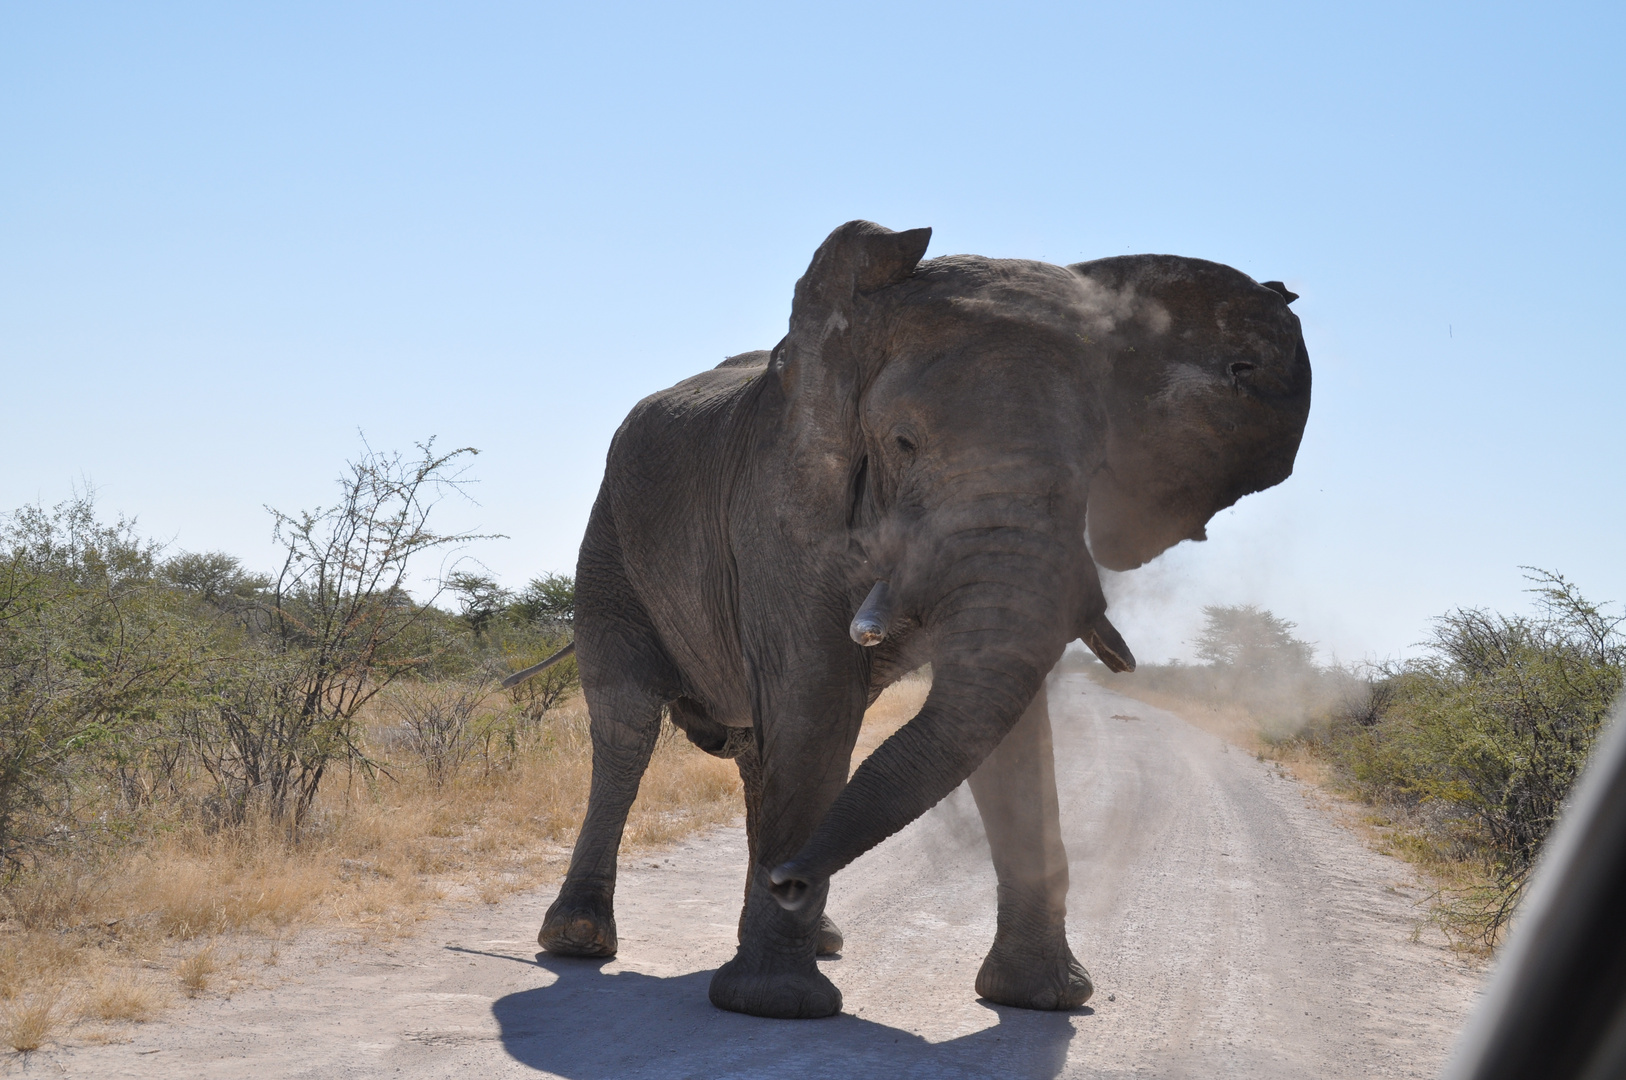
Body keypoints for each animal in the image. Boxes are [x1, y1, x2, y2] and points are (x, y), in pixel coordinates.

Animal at [533, 221, 1307, 1021]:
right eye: (903, 443)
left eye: (1098, 464)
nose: (791, 879)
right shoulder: (781, 502)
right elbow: (814, 703)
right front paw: (776, 1004)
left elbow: (1011, 735)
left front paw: (1045, 1000)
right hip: (607, 547)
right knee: (627, 728)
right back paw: (581, 938)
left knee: (752, 750)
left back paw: (817, 932)